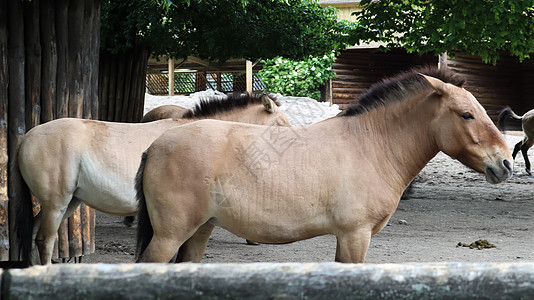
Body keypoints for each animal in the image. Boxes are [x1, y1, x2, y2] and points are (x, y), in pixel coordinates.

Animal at [16, 94, 292, 264]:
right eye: (281, 125)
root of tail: (27, 139)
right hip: (56, 204)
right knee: (45, 239)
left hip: (68, 203)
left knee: (34, 235)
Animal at [137, 67, 516, 262]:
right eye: (467, 114)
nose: (506, 163)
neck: (370, 145)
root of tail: (154, 147)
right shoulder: (355, 236)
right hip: (169, 237)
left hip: (200, 231)